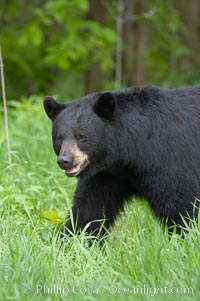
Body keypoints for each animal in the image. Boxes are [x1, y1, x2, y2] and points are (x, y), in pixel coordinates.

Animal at [43, 85, 200, 237]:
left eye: (81, 137)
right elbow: (90, 208)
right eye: (60, 138)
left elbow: (180, 204)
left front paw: (185, 236)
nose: (65, 160)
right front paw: (75, 238)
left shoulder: (168, 159)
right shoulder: (106, 175)